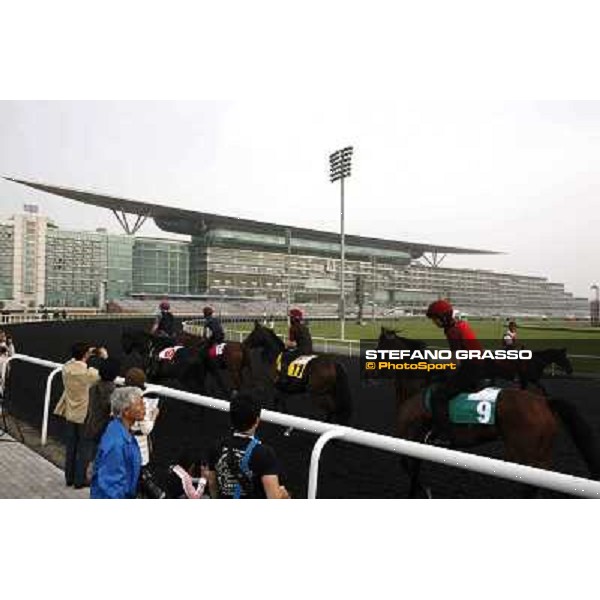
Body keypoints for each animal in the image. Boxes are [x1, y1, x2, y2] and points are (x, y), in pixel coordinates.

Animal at [380, 328, 600, 496]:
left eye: (380, 347)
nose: (571, 370)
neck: (417, 390)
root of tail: (544, 404)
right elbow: (411, 468)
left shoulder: (412, 439)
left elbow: (407, 466)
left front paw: (423, 491)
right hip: (539, 453)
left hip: (525, 453)